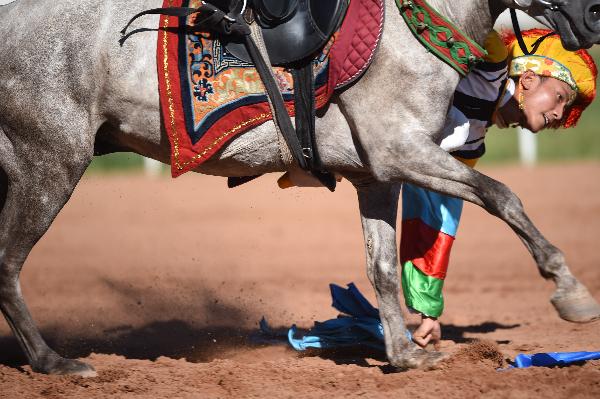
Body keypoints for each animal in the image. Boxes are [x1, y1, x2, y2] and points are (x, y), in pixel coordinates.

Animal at [1, 0, 600, 376]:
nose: (592, 15)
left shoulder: (379, 174)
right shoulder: (402, 151)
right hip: (49, 163)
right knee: (8, 265)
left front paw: (407, 351)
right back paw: (53, 362)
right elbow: (503, 196)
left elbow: (383, 267)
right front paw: (569, 290)